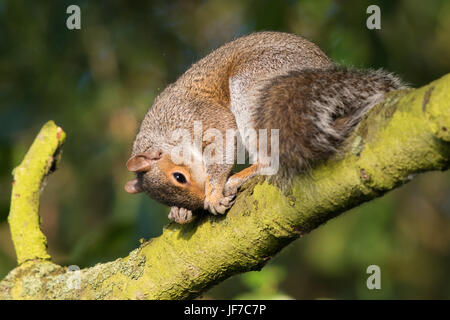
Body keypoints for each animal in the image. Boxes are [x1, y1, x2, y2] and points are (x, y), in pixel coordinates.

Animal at [124, 31, 408, 222]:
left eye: (179, 177)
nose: (198, 204)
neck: (164, 129)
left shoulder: (203, 117)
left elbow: (222, 142)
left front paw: (213, 195)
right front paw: (180, 211)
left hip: (252, 85)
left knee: (269, 160)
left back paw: (241, 176)